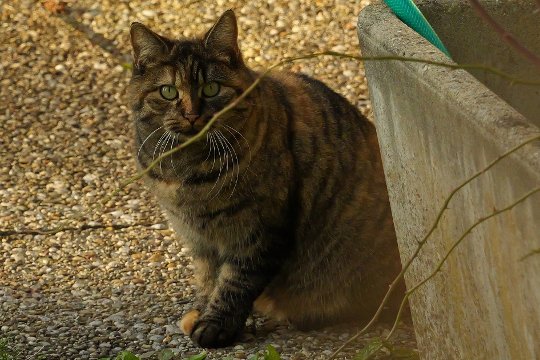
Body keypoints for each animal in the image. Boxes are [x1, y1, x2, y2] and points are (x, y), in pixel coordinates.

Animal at [127, 9, 404, 348]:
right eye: (168, 92)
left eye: (211, 89)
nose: (192, 115)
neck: (188, 169)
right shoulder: (198, 239)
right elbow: (208, 278)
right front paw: (201, 310)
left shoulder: (259, 232)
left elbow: (235, 283)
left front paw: (215, 326)